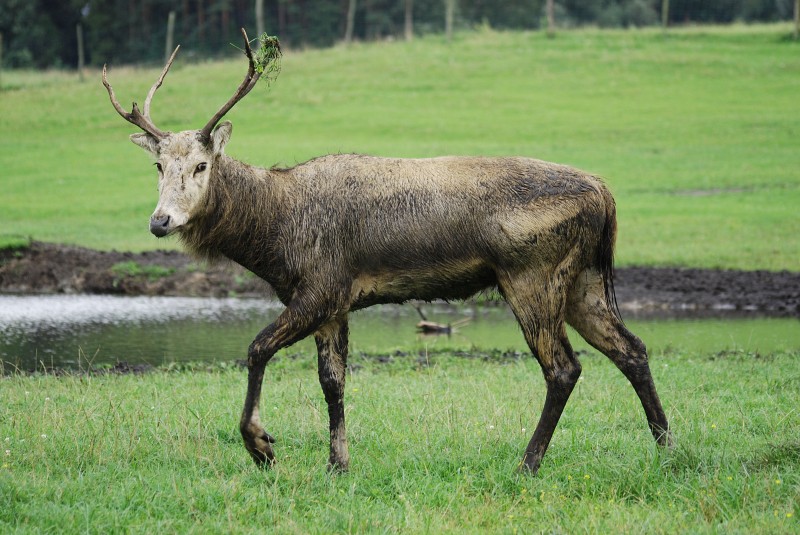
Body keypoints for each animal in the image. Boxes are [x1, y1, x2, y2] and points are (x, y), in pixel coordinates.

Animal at [103, 29, 672, 476]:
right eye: (158, 165)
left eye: (201, 165)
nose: (160, 221)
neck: (275, 238)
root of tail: (605, 195)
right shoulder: (335, 305)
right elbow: (332, 383)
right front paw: (337, 464)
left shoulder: (320, 286)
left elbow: (257, 348)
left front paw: (262, 446)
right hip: (582, 280)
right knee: (631, 348)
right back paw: (667, 447)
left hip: (532, 274)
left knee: (563, 368)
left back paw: (528, 463)